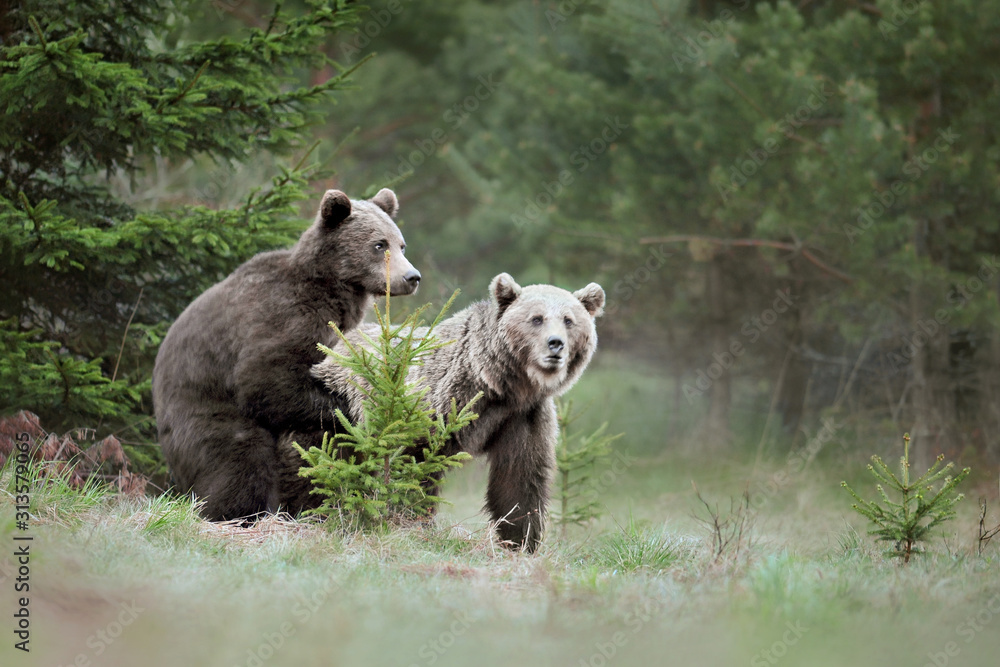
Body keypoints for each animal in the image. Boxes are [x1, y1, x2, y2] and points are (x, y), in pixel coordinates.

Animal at [153, 188, 420, 521]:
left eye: (401, 244)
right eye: (379, 244)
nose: (412, 277)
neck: (333, 291)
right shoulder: (285, 319)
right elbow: (266, 381)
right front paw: (355, 409)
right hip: (202, 412)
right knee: (240, 457)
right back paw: (234, 512)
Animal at [278, 273, 605, 552]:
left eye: (569, 320)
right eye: (536, 318)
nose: (555, 344)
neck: (498, 385)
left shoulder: (522, 417)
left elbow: (520, 479)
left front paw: (519, 542)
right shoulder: (435, 404)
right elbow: (414, 467)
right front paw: (410, 523)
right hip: (335, 410)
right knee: (316, 462)